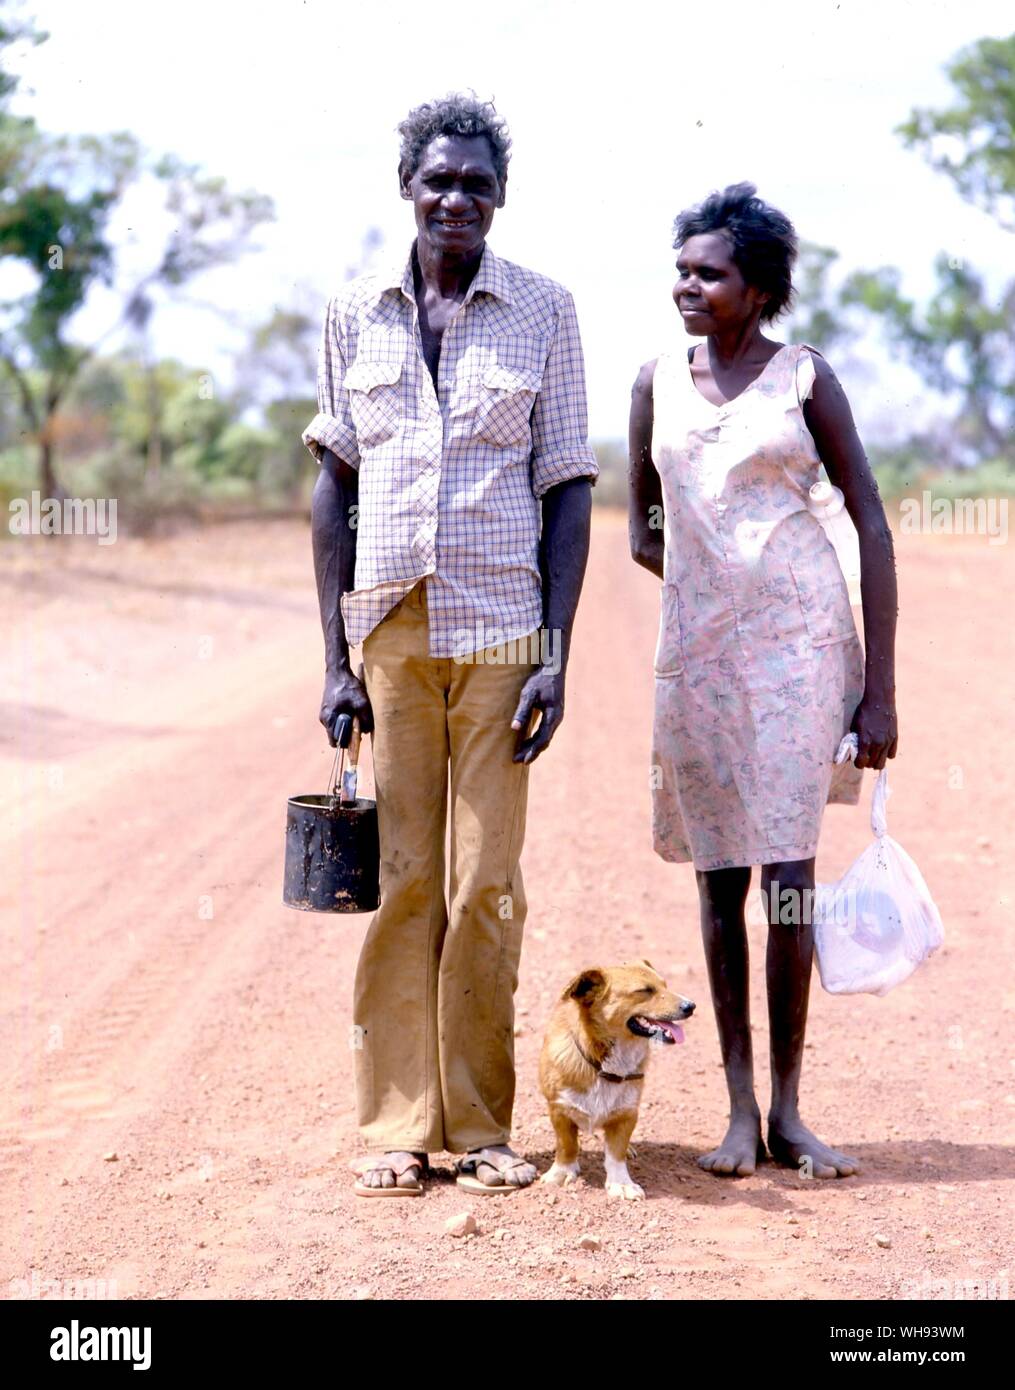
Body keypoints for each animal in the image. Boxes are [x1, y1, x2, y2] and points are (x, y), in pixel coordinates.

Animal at [533, 961, 692, 1200]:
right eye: (644, 990)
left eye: (665, 985)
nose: (691, 1006)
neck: (604, 1066)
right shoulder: (559, 1110)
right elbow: (567, 1145)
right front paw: (562, 1172)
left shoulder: (626, 1114)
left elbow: (616, 1154)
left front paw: (621, 1183)